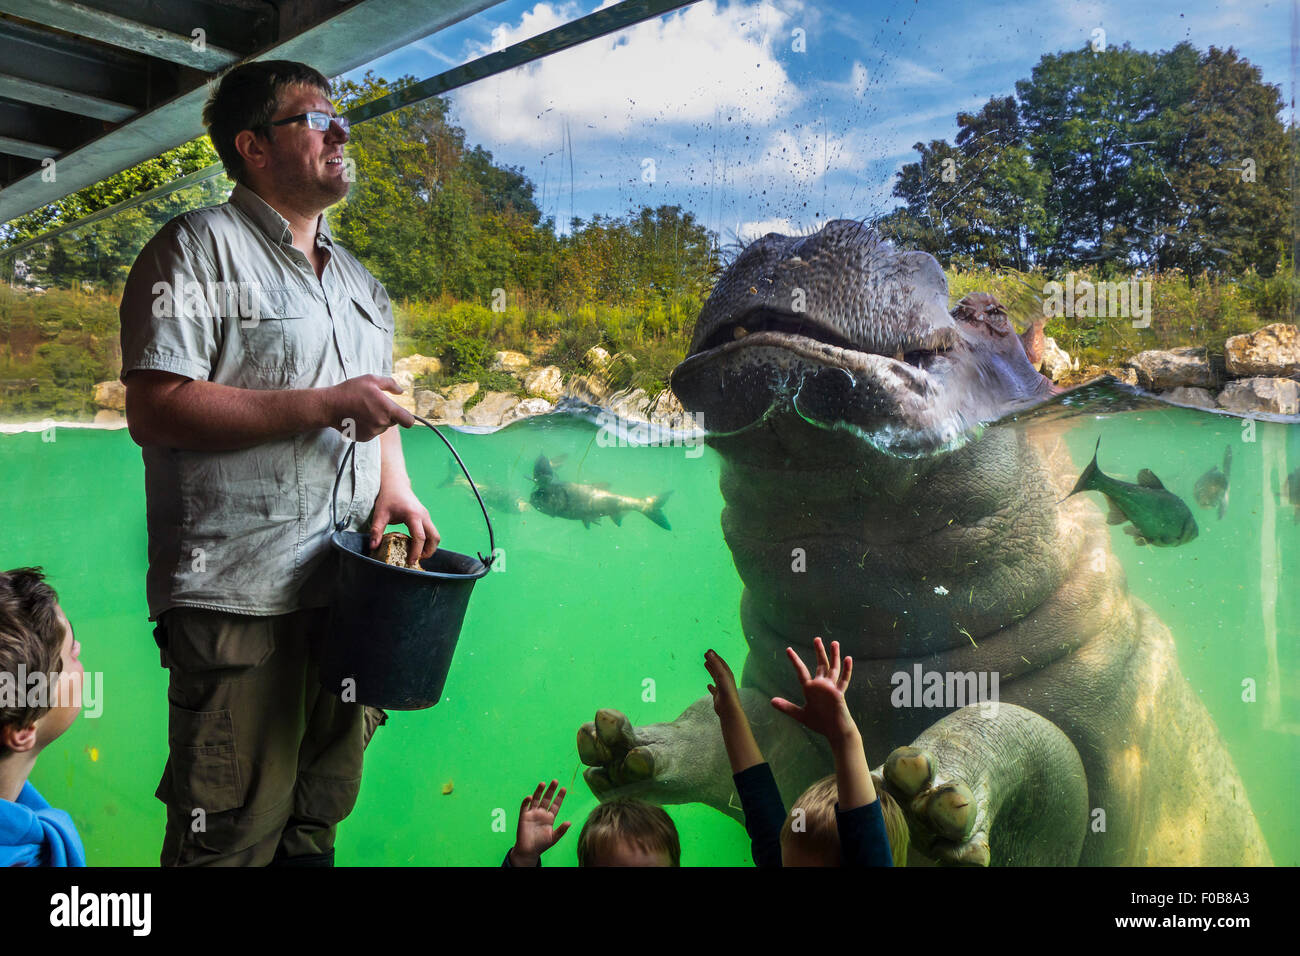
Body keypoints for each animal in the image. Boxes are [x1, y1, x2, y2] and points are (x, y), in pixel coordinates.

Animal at [577, 220, 1271, 865]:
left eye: (995, 314)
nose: (793, 239)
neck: (890, 669)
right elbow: (741, 724)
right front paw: (625, 746)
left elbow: (1034, 740)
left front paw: (927, 788)